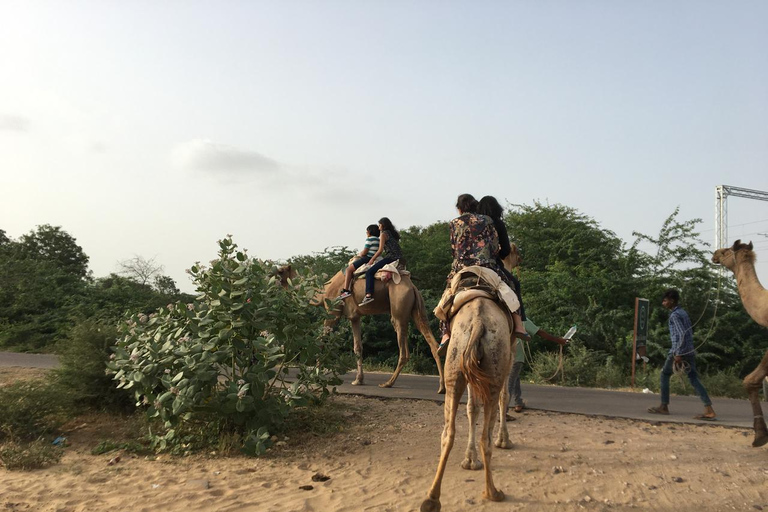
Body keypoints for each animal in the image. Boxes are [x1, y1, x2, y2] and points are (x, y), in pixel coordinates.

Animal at [280, 264, 448, 392]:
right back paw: (441, 387)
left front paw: (315, 375)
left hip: (399, 308)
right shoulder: (355, 317)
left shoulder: (333, 312)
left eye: (280, 271)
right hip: (418, 309)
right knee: (433, 343)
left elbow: (321, 341)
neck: (322, 293)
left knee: (404, 350)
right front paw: (358, 380)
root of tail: (412, 287)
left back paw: (388, 383)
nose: (277, 281)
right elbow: (357, 347)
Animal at [416, 294, 512, 510]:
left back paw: (431, 499)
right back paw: (493, 492)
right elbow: (504, 396)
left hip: (456, 358)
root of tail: (478, 323)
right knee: (486, 434)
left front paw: (469, 460)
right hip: (495, 364)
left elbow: (472, 407)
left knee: (448, 432)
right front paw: (504, 441)